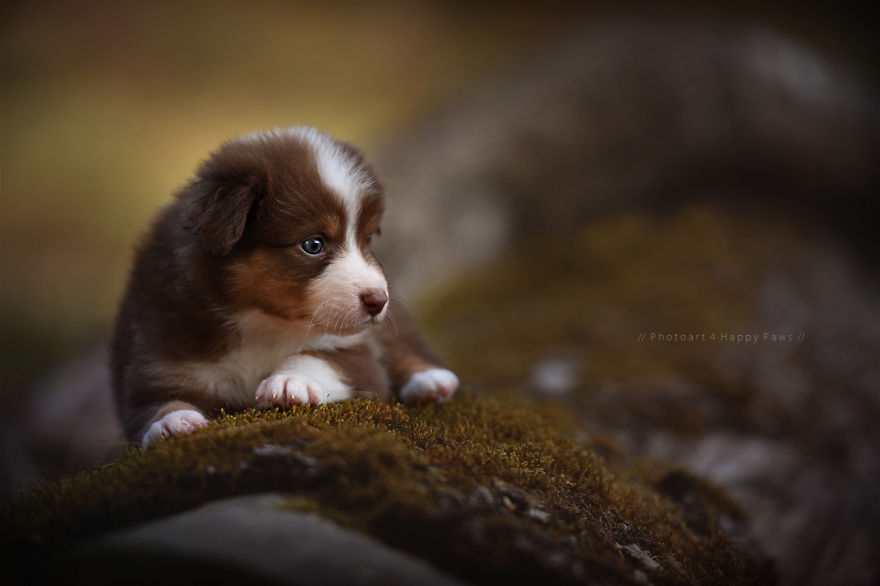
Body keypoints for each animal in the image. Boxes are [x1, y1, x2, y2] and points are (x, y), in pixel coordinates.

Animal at [110, 128, 460, 444]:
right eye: (313, 244)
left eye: (368, 239)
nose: (378, 300)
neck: (258, 321)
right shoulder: (156, 353)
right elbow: (154, 403)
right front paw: (172, 423)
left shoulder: (359, 352)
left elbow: (320, 358)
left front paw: (290, 381)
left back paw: (431, 381)